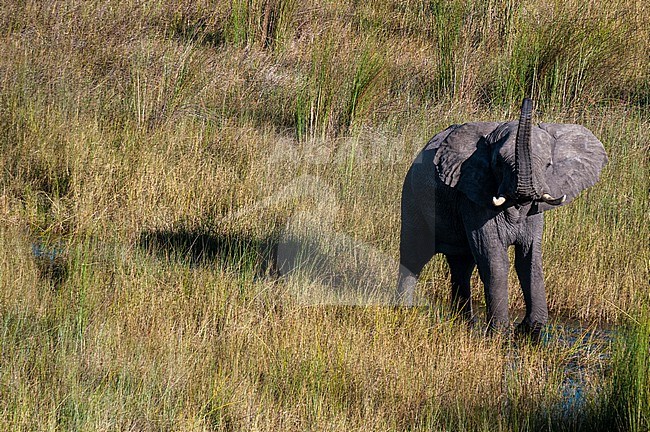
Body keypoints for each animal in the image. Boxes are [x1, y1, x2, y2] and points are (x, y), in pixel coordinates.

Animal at [394, 98, 608, 338]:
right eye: (498, 163)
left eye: (548, 165)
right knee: (414, 257)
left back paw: (464, 323)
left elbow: (529, 259)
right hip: (411, 197)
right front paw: (500, 332)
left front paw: (531, 329)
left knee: (461, 266)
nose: (527, 100)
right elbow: (494, 259)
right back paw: (404, 312)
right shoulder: (474, 196)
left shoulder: (533, 211)